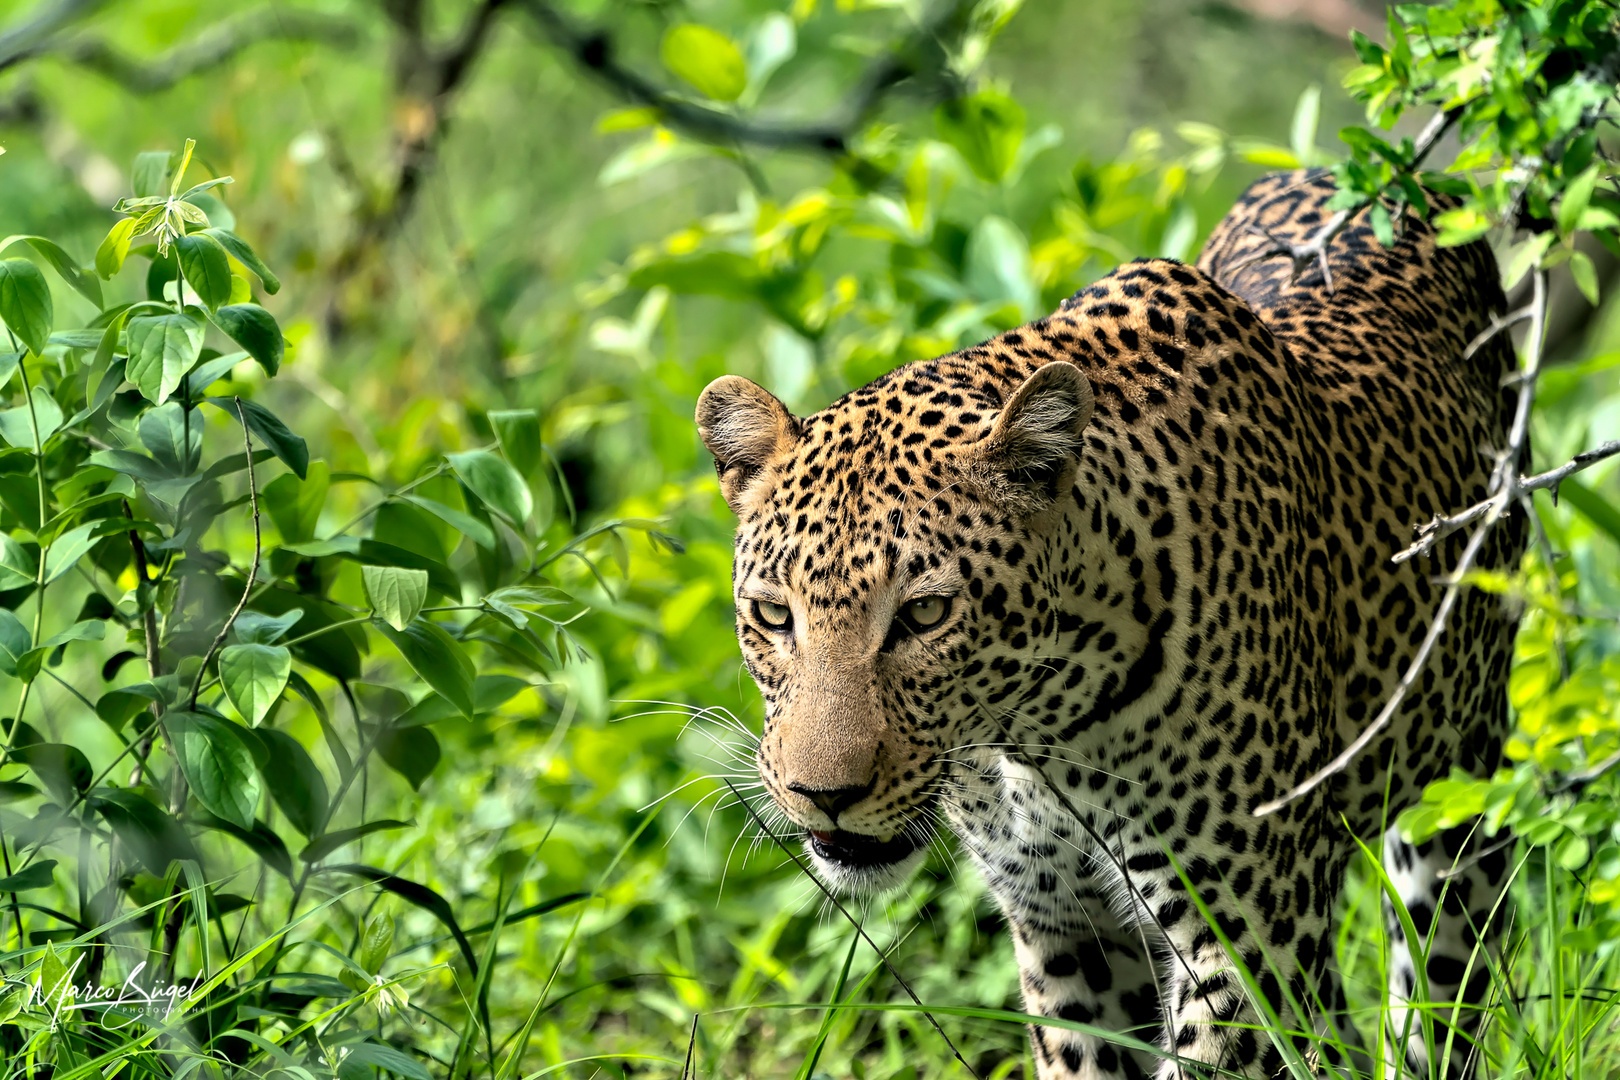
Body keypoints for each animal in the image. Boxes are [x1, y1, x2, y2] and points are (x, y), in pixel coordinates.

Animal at [693, 170, 1516, 1080]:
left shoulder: (1249, 932)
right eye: (774, 615)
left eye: (926, 613)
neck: (1034, 728)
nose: (823, 797)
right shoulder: (1061, 925)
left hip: (1459, 789)